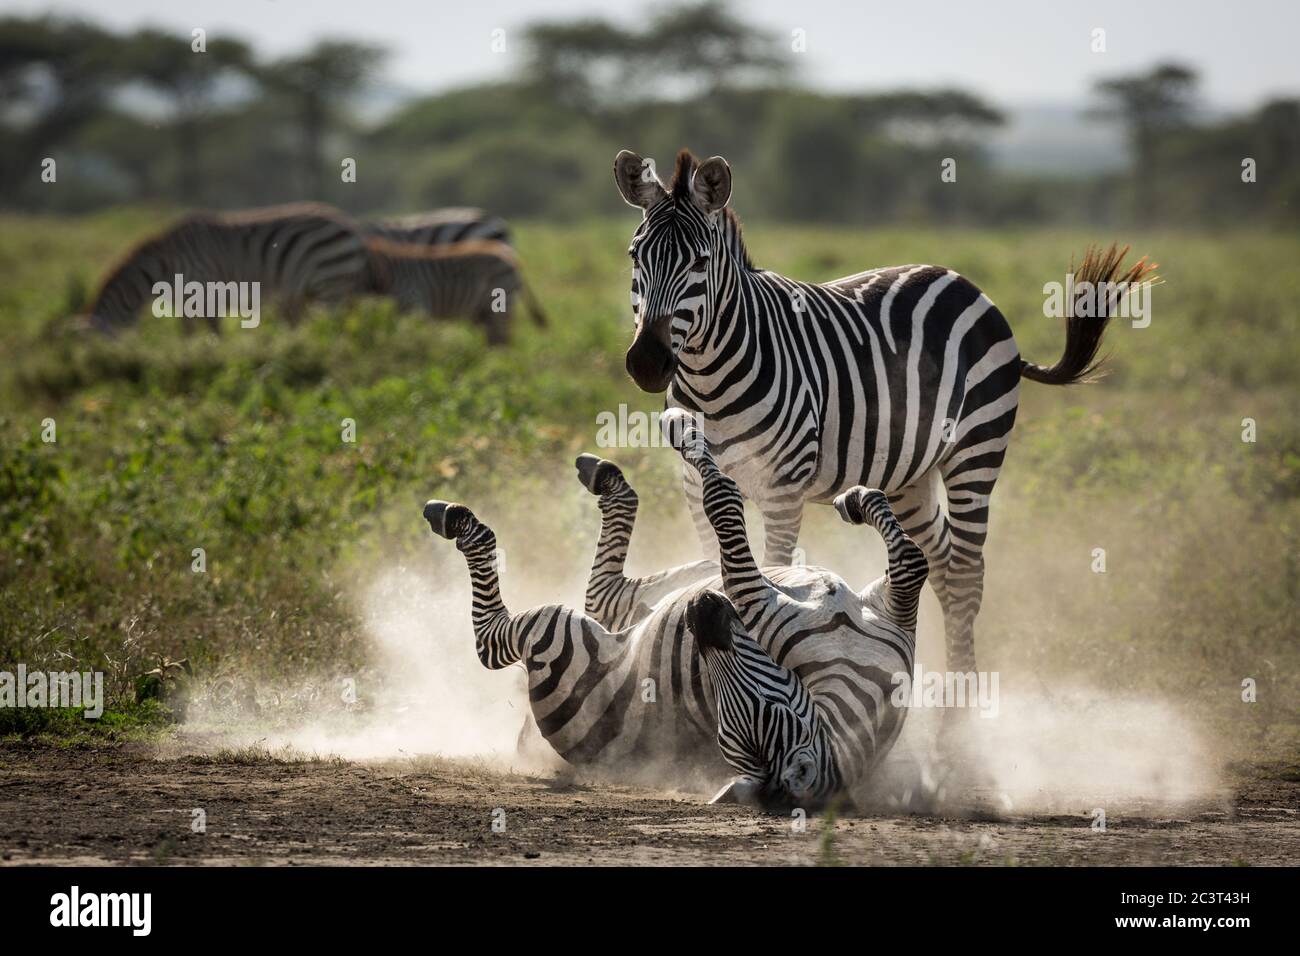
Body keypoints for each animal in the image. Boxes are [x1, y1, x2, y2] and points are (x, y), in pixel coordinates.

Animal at [85, 201, 371, 335]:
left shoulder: (205, 287)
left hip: (330, 283)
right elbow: (188, 333)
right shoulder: (185, 301)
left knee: (334, 326)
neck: (165, 266)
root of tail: (347, 223)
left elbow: (213, 329)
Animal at [364, 238, 546, 345]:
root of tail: (510, 256)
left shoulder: (415, 304)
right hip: (482, 312)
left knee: (503, 343)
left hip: (499, 306)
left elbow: (415, 339)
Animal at [418, 408, 925, 811]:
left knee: (499, 638)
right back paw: (601, 475)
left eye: (765, 710)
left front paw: (684, 427)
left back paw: (460, 521)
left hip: (560, 635)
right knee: (600, 589)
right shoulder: (884, 609)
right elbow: (910, 557)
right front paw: (858, 499)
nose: (700, 612)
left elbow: (722, 497)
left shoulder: (758, 597)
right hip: (662, 590)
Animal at [613, 147, 1164, 681]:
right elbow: (713, 561)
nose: (647, 363)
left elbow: (771, 572)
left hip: (976, 450)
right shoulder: (693, 482)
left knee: (967, 575)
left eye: (699, 262)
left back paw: (962, 708)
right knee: (941, 562)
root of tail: (962, 281)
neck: (710, 377)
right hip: (908, 474)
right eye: (635, 255)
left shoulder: (782, 488)